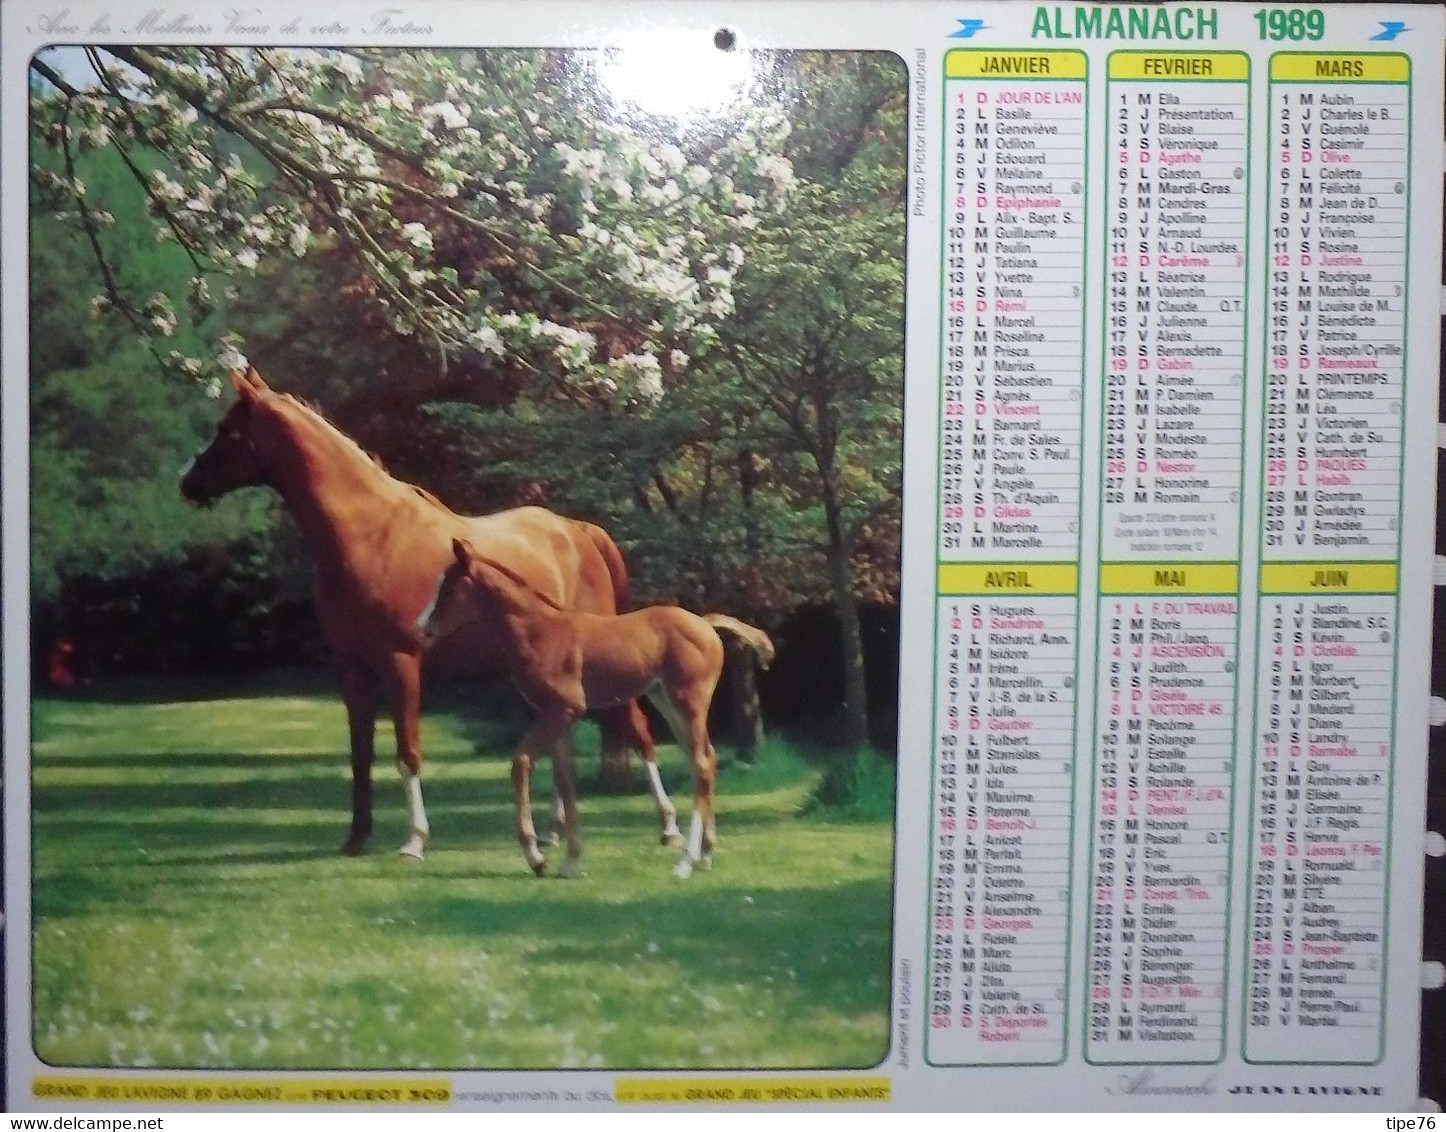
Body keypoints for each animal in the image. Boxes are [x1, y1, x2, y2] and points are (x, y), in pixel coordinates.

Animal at [422, 537, 775, 878]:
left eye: (449, 587)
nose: (424, 628)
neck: (540, 632)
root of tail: (705, 623)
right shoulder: (557, 716)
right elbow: (565, 779)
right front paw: (570, 861)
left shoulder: (564, 710)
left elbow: (521, 763)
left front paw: (536, 857)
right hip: (666, 701)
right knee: (704, 759)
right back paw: (706, 854)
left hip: (688, 701)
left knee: (701, 764)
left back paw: (686, 862)